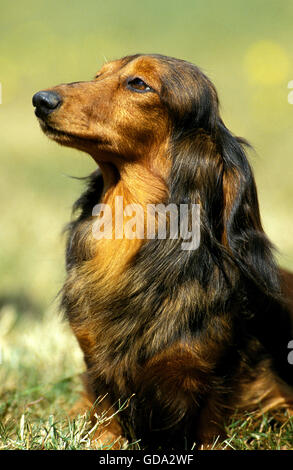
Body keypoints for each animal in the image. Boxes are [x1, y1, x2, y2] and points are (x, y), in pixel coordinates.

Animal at [32, 53, 292, 450]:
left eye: (139, 83)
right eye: (98, 75)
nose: (40, 100)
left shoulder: (217, 378)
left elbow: (211, 422)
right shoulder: (98, 370)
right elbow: (105, 417)